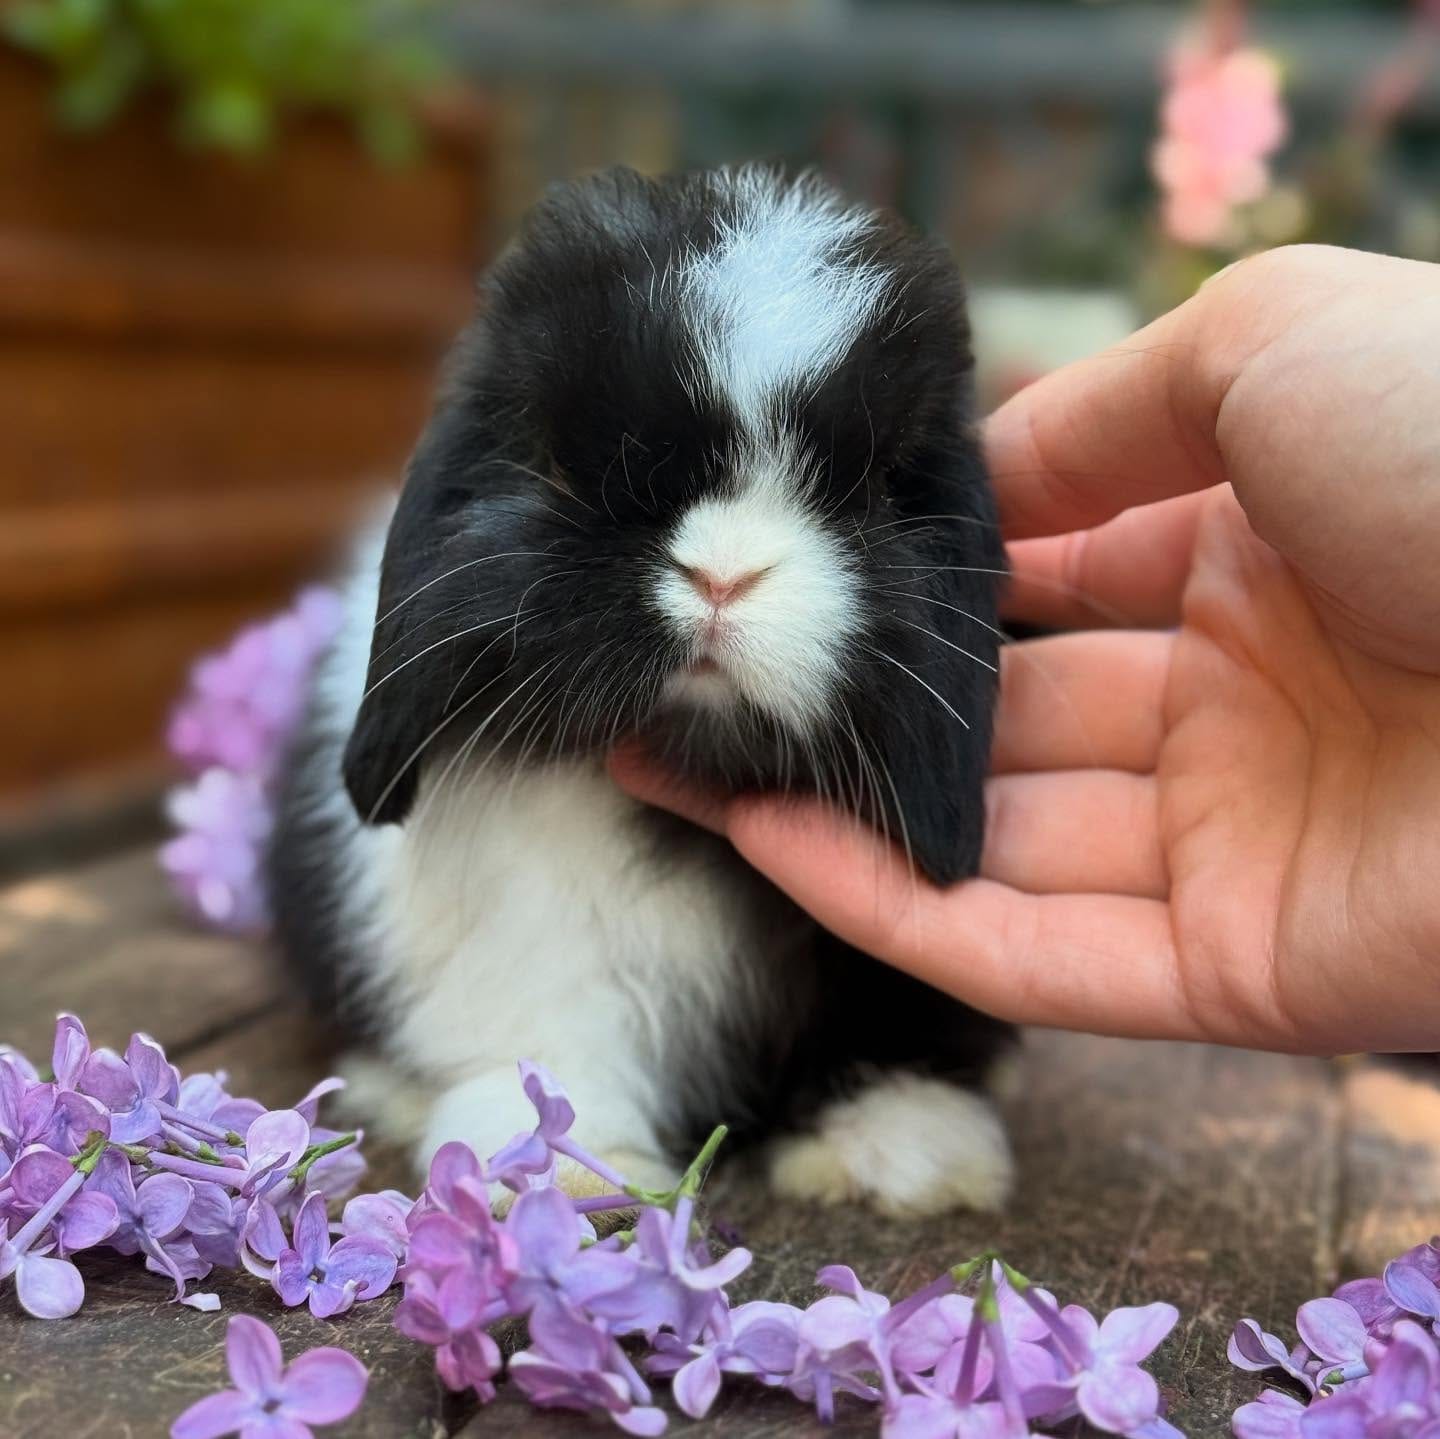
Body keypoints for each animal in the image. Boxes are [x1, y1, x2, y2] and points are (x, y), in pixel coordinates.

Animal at [267, 165, 1016, 1217]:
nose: (722, 577)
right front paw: (561, 1166)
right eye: (562, 463)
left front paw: (910, 1147)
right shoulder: (530, 927)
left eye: (878, 489)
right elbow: (546, 1025)